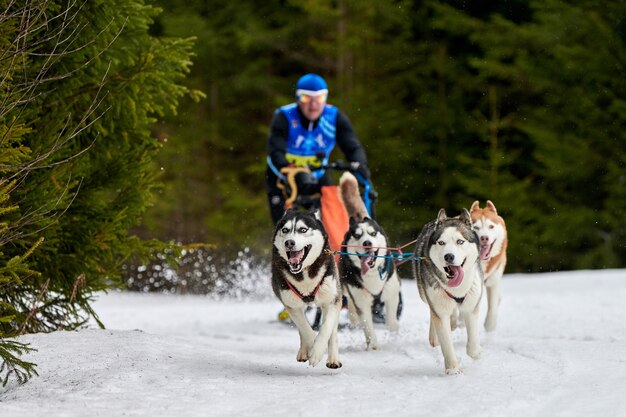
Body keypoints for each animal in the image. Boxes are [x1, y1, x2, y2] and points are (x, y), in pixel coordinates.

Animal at [270, 210, 344, 366]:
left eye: (303, 230)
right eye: (285, 230)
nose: (289, 242)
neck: (305, 274)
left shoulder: (332, 300)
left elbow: (327, 327)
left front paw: (318, 350)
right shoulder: (291, 305)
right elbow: (305, 329)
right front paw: (313, 349)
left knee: (332, 330)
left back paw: (333, 359)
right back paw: (304, 351)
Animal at [336, 171, 400, 350]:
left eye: (372, 233)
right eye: (357, 235)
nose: (367, 243)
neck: (371, 275)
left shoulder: (392, 294)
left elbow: (391, 321)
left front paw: (393, 336)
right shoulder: (361, 301)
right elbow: (368, 326)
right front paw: (373, 345)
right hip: (345, 286)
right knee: (350, 305)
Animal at [410, 208, 482, 374]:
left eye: (460, 241)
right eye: (441, 242)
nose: (448, 256)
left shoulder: (471, 306)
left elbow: (473, 343)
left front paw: (476, 352)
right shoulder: (440, 311)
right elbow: (447, 344)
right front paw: (453, 370)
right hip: (426, 294)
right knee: (434, 314)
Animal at [468, 200, 508, 330]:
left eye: (491, 226)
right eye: (476, 227)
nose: (484, 238)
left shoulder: (493, 280)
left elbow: (493, 305)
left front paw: (490, 324)